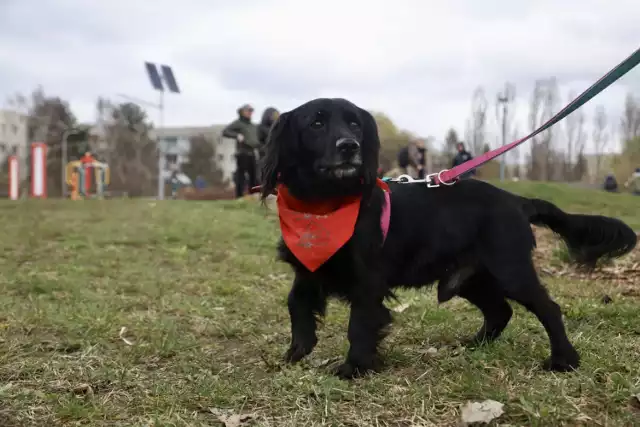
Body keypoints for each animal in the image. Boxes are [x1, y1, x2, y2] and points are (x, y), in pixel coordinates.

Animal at [258, 98, 636, 382]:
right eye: (316, 124)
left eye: (355, 125)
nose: (349, 147)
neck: (325, 205)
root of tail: (517, 200)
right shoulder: (308, 267)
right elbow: (295, 302)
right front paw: (297, 350)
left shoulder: (368, 280)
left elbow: (360, 324)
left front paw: (354, 368)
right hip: (469, 278)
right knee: (500, 311)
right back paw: (474, 346)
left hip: (509, 270)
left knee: (547, 309)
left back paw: (564, 360)